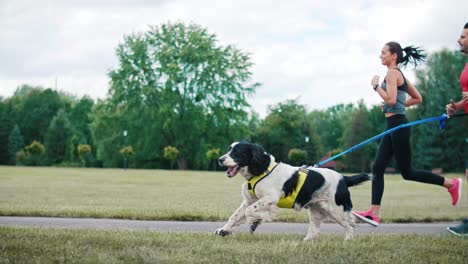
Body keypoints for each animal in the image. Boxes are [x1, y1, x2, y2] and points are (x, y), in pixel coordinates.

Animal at [214, 141, 372, 240]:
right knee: (315, 231)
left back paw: (348, 240)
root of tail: (343, 178)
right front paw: (224, 230)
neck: (261, 170)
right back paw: (305, 241)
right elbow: (235, 216)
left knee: (351, 226)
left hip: (336, 210)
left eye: (236, 152)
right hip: (316, 210)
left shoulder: (270, 197)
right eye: (229, 149)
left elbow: (250, 212)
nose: (220, 159)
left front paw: (257, 220)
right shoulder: (249, 200)